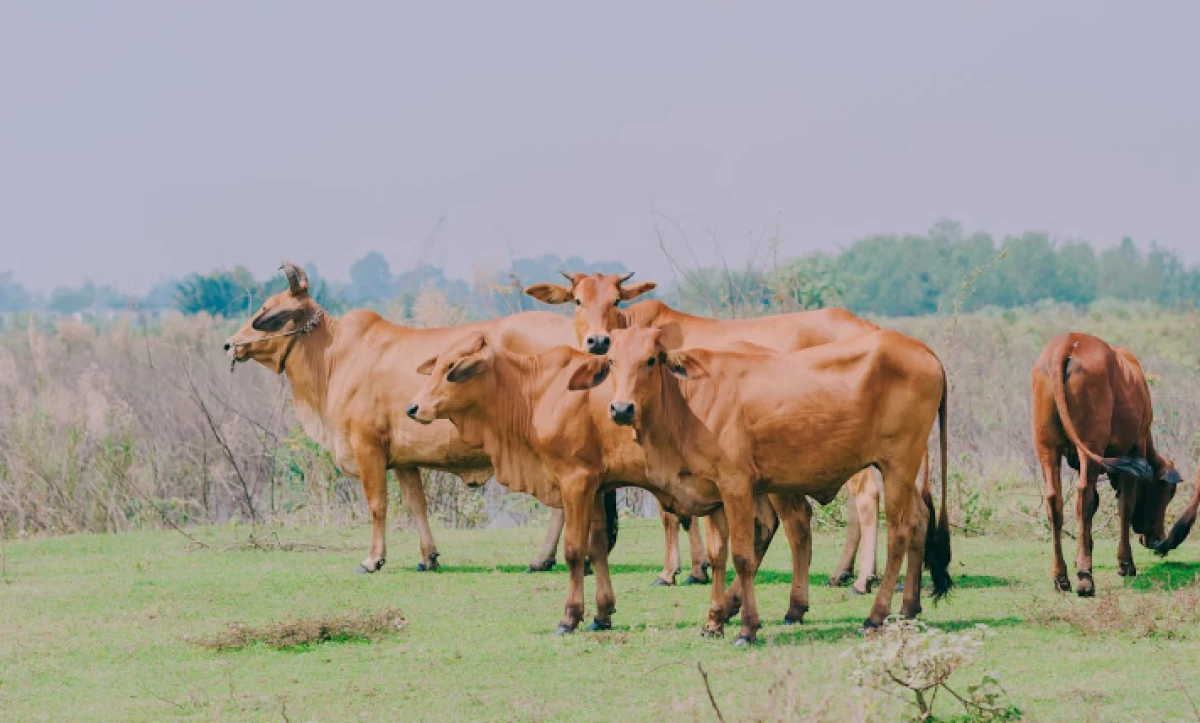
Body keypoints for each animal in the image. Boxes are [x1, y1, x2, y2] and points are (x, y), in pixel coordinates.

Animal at [224, 261, 590, 571]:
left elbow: (377, 504)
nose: (230, 344)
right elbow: (417, 505)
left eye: (267, 310)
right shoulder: (403, 459)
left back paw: (560, 559)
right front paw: (429, 557)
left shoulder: (367, 446)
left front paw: (373, 559)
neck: (335, 357)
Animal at [403, 329, 796, 634]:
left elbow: (575, 550)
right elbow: (598, 546)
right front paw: (602, 613)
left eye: (452, 369)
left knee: (790, 527)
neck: (535, 391)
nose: (412, 408)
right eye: (437, 365)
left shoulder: (575, 480)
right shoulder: (596, 486)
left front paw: (570, 617)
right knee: (768, 528)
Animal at [525, 270, 892, 590]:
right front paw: (697, 569)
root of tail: (867, 327)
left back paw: (862, 579)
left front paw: (671, 572)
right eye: (577, 300)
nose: (598, 341)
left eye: (615, 300)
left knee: (867, 497)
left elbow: (672, 514)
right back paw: (843, 573)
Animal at [573, 326, 955, 643]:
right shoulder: (714, 494)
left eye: (651, 360)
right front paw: (714, 621)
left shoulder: (736, 487)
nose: (621, 409)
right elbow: (718, 554)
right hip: (902, 471)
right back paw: (908, 608)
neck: (688, 402)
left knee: (900, 532)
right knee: (920, 521)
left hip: (897, 466)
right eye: (612, 361)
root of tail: (923, 350)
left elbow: (742, 556)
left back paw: (876, 615)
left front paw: (746, 628)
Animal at [1027, 329, 1185, 593]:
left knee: (1054, 500)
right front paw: (1125, 563)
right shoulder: (1134, 450)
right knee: (1083, 496)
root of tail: (1068, 342)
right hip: (1090, 446)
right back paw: (1084, 577)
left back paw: (1061, 576)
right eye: (1167, 492)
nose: (1157, 540)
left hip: (1047, 447)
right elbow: (1125, 506)